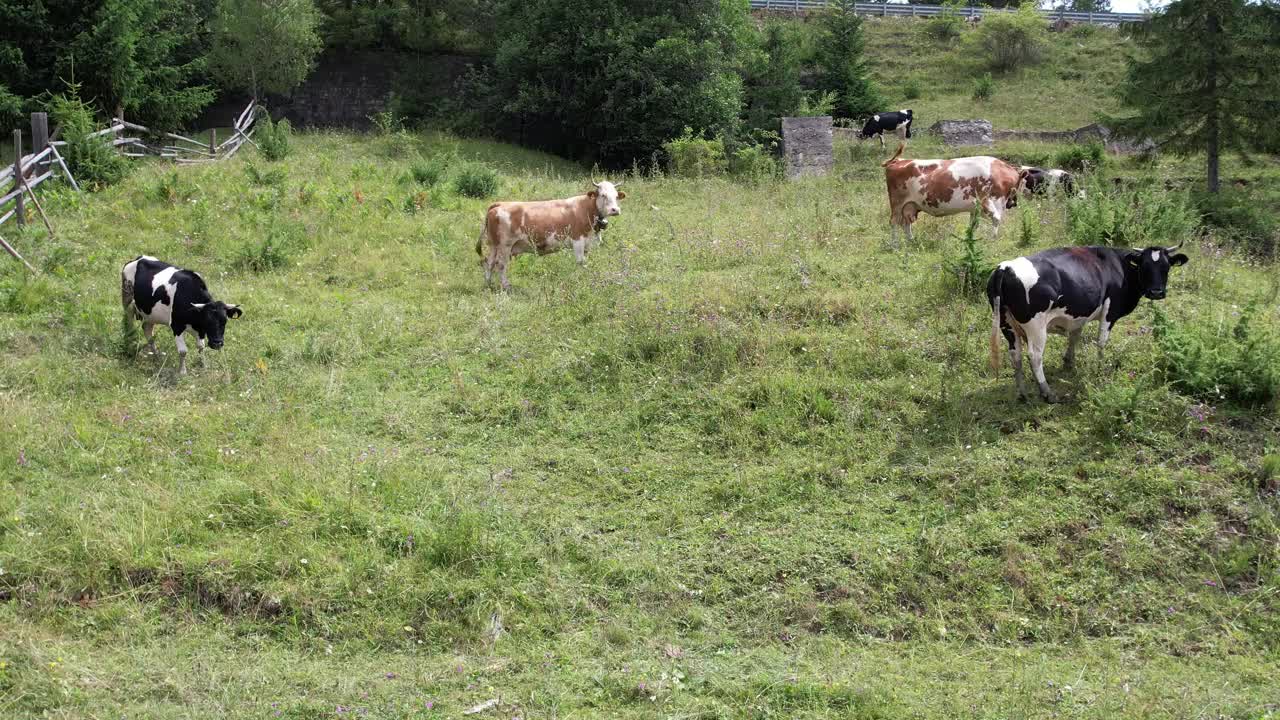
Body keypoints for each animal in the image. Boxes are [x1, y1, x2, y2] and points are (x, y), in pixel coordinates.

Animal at [476, 180, 624, 289]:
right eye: (603, 195)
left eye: (617, 196)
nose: (615, 210)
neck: (587, 209)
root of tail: (500, 203)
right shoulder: (577, 240)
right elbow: (580, 262)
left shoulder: (587, 243)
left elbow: (585, 263)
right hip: (505, 245)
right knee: (501, 264)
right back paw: (506, 286)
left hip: (494, 244)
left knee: (489, 262)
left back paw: (488, 284)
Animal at [880, 141, 1018, 244]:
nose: (1013, 203)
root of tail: (899, 161)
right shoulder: (988, 200)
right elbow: (996, 219)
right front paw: (991, 240)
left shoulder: (976, 209)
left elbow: (973, 225)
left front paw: (971, 241)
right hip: (897, 203)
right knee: (894, 222)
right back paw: (895, 245)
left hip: (909, 205)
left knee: (906, 223)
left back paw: (911, 241)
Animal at [988, 240, 1187, 397]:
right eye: (1144, 266)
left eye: (1166, 267)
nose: (1156, 292)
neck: (1120, 267)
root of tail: (1005, 268)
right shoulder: (1110, 311)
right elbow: (1101, 342)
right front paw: (1100, 370)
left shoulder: (1079, 314)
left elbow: (1074, 336)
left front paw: (1069, 363)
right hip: (1035, 326)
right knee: (1035, 356)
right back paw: (1047, 393)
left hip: (1006, 324)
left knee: (1015, 355)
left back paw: (1022, 393)